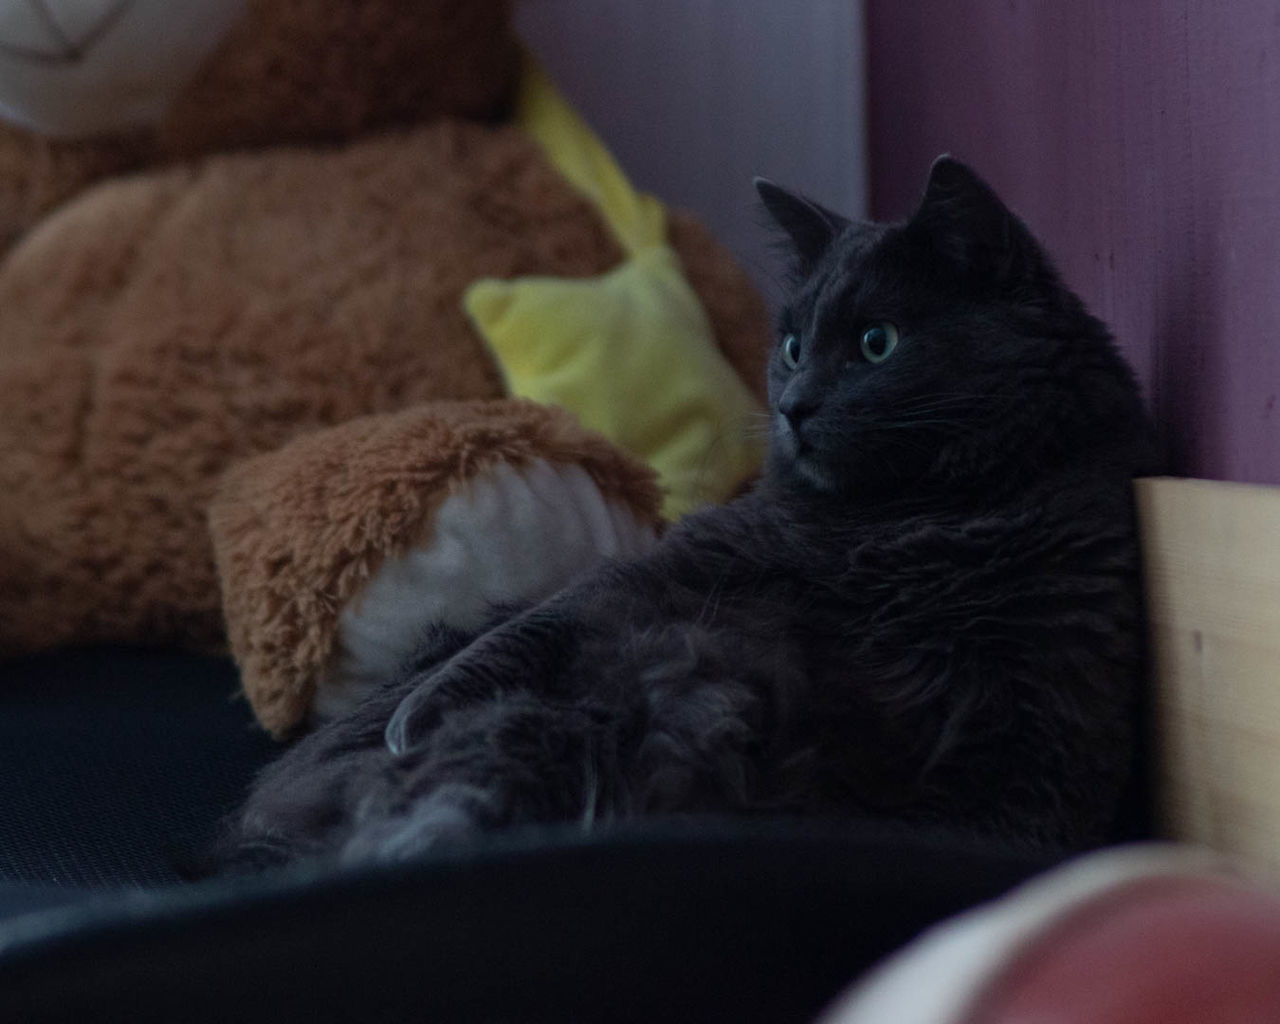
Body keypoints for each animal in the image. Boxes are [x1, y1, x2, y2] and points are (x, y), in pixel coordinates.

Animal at [212, 154, 1162, 870]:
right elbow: (541, 624)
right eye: (791, 346)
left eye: (877, 342)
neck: (912, 524)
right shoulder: (697, 556)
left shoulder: (1045, 724)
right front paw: (413, 718)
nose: (795, 407)